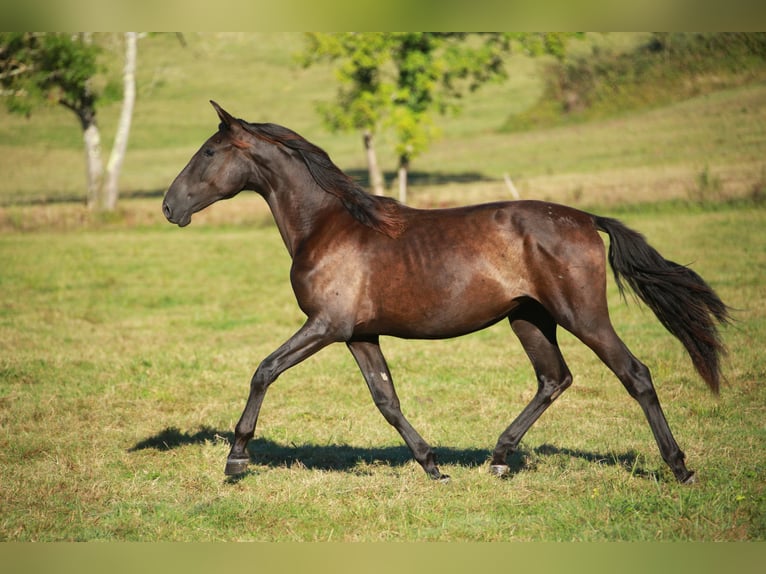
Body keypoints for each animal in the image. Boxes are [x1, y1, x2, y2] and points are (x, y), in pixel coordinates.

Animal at [164, 102, 732, 486]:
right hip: (529, 319)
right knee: (554, 378)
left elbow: (264, 370)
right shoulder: (358, 334)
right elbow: (386, 399)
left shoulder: (325, 326)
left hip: (583, 316)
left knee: (634, 374)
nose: (170, 207)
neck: (327, 226)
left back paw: (680, 468)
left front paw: (236, 457)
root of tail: (586, 219)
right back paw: (498, 459)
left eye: (209, 152)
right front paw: (433, 466)